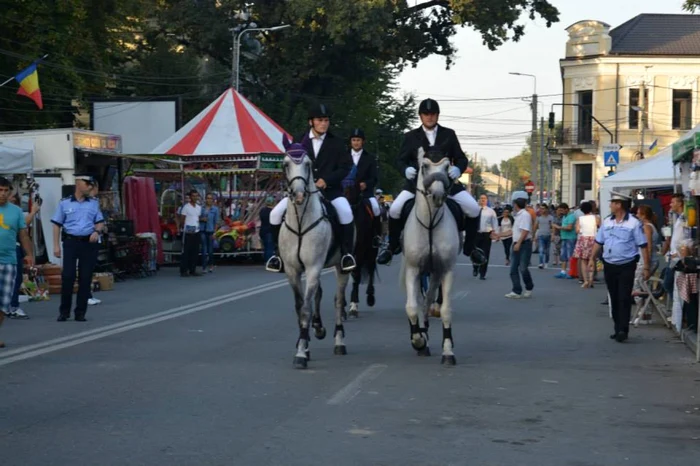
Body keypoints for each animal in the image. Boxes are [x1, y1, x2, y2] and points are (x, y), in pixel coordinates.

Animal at [280, 137, 352, 370]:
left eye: (308, 164)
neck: (301, 222)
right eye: (285, 164)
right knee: (318, 295)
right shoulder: (293, 270)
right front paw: (305, 344)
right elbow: (300, 306)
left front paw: (301, 354)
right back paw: (318, 329)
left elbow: (305, 309)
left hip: (341, 268)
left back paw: (339, 342)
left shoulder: (312, 268)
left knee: (338, 301)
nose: (299, 195)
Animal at [402, 147, 462, 366]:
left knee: (428, 300)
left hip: (435, 273)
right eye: (424, 166)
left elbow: (445, 310)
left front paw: (448, 351)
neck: (429, 223)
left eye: (446, 166)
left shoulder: (447, 270)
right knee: (420, 301)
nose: (437, 195)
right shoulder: (412, 269)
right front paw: (418, 340)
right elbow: (412, 307)